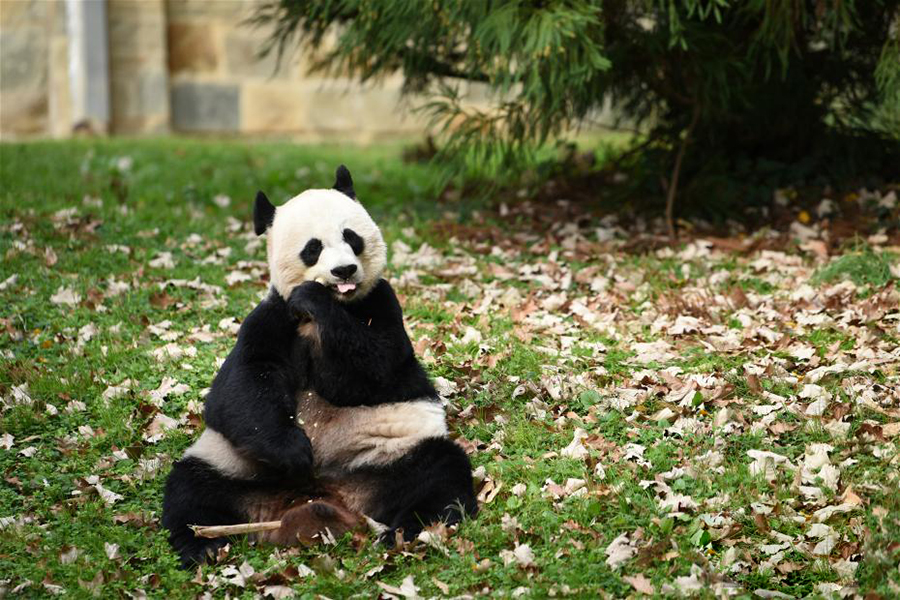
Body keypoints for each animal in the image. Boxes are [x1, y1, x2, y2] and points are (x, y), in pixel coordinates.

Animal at [164, 165, 482, 568]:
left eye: (351, 237)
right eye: (312, 248)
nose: (344, 270)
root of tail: (321, 500)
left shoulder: (381, 304)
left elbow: (374, 370)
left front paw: (315, 300)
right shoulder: (270, 318)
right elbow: (241, 388)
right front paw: (296, 452)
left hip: (389, 458)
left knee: (439, 473)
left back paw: (406, 532)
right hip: (234, 466)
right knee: (191, 490)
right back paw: (203, 545)